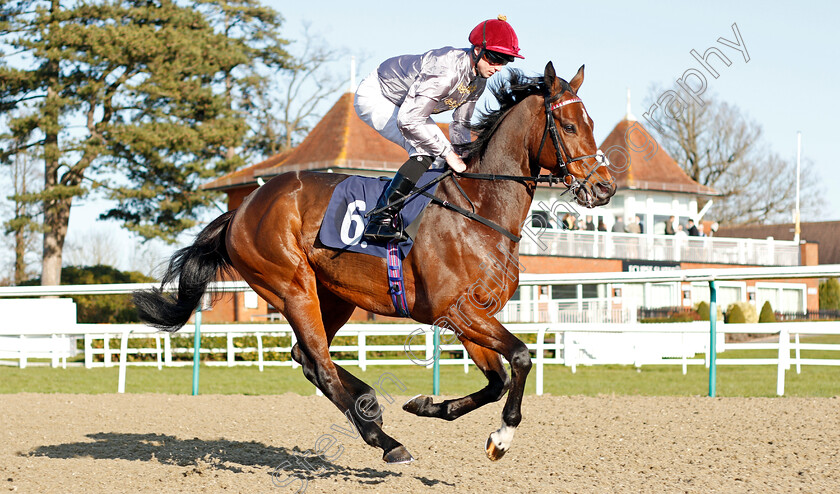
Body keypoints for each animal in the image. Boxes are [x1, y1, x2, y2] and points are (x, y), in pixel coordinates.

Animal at [135, 60, 612, 464]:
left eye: (592, 124)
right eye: (569, 125)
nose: (604, 188)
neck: (479, 210)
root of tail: (242, 208)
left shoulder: (471, 314)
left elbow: (498, 381)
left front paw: (427, 405)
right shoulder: (456, 310)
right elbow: (522, 357)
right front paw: (502, 438)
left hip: (335, 296)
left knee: (306, 356)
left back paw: (369, 404)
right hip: (292, 287)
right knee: (320, 366)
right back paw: (385, 441)